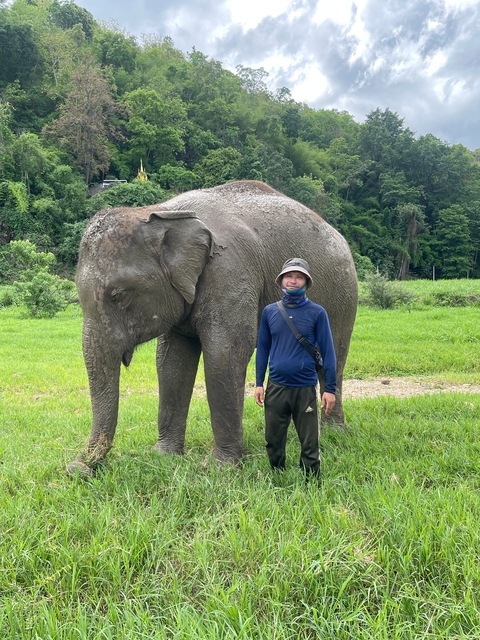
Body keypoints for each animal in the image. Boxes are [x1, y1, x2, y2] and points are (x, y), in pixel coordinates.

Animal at [67, 181, 357, 474]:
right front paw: (164, 455)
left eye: (119, 295)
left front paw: (223, 467)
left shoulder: (230, 273)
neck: (161, 212)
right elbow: (171, 362)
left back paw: (333, 433)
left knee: (332, 358)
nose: (76, 467)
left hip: (343, 296)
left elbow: (225, 354)